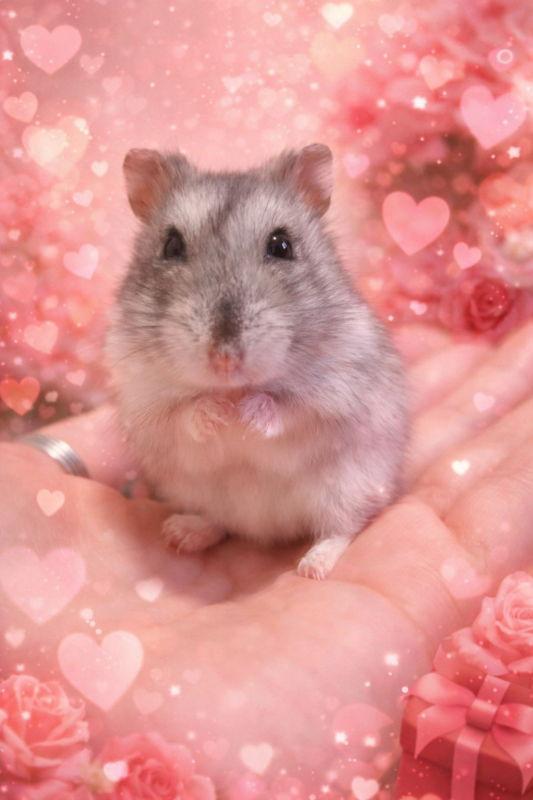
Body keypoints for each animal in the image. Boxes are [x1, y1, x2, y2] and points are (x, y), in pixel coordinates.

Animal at [106, 143, 408, 580]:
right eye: (171, 246)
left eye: (282, 246)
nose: (225, 359)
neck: (234, 387)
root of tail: (270, 528)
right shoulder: (145, 405)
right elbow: (184, 414)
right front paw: (217, 413)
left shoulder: (338, 397)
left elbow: (289, 409)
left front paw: (246, 412)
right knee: (220, 522)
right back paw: (181, 533)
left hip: (349, 488)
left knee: (342, 528)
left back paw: (313, 567)